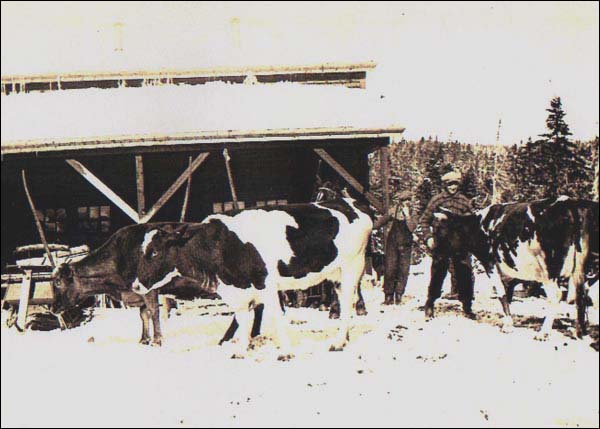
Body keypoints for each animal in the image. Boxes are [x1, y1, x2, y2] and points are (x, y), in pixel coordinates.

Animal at [134, 197, 372, 354]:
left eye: (154, 252)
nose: (135, 285)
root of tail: (350, 203)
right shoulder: (237, 291)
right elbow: (242, 319)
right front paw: (240, 351)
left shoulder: (266, 284)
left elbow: (275, 315)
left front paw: (285, 352)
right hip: (336, 274)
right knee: (343, 301)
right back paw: (344, 338)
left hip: (353, 265)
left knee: (349, 302)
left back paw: (338, 342)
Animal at [434, 196, 596, 340]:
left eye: (441, 229)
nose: (433, 249)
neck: (478, 226)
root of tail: (569, 202)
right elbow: (508, 293)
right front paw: (509, 321)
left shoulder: (490, 263)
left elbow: (501, 293)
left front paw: (508, 325)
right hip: (579, 269)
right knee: (581, 295)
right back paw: (580, 333)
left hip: (549, 270)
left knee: (556, 295)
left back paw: (543, 333)